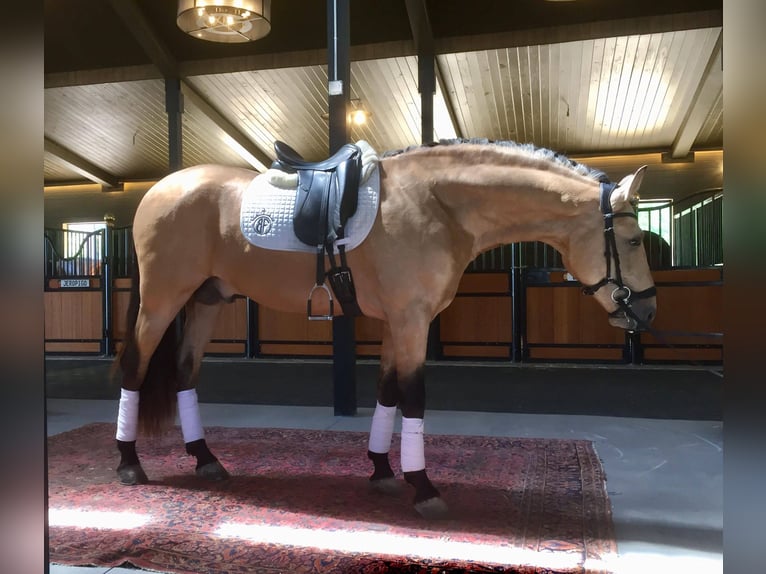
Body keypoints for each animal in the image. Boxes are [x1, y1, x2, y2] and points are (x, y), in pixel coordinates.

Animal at [115, 138, 660, 520]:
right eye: (634, 239)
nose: (648, 312)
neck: (438, 204)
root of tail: (159, 190)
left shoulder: (401, 322)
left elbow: (387, 392)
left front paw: (381, 471)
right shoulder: (412, 319)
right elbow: (413, 396)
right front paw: (424, 487)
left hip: (206, 302)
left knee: (185, 373)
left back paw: (205, 459)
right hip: (162, 301)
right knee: (134, 368)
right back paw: (129, 463)